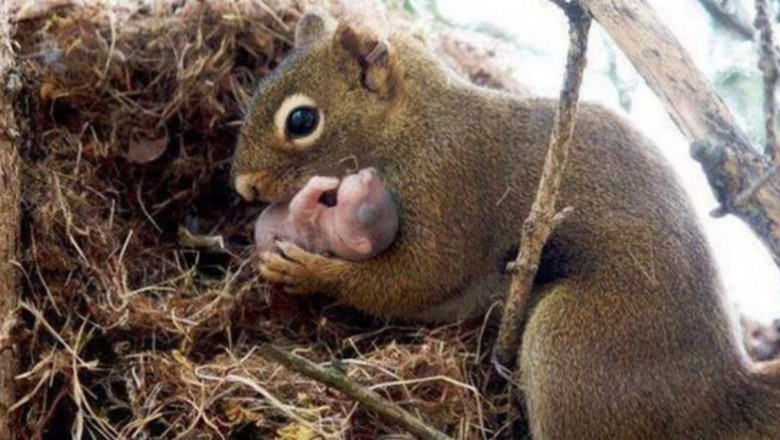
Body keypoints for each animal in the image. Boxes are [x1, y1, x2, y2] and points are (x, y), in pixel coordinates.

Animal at [256, 167, 400, 260]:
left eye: (365, 212)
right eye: (389, 194)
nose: (370, 172)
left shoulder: (308, 229)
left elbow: (299, 204)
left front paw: (324, 181)